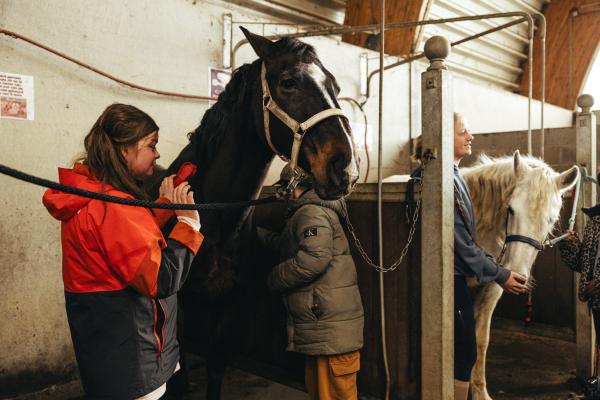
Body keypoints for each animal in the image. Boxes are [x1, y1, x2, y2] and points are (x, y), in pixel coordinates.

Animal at [160, 28, 359, 399]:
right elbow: (178, 377)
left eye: (336, 87)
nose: (345, 167)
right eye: (288, 82)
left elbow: (216, 366)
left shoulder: (227, 306)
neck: (215, 219)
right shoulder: (175, 310)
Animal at [462, 151, 579, 400]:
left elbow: (481, 341)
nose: (516, 272)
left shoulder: (491, 290)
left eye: (552, 219)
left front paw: (479, 391)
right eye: (511, 209)